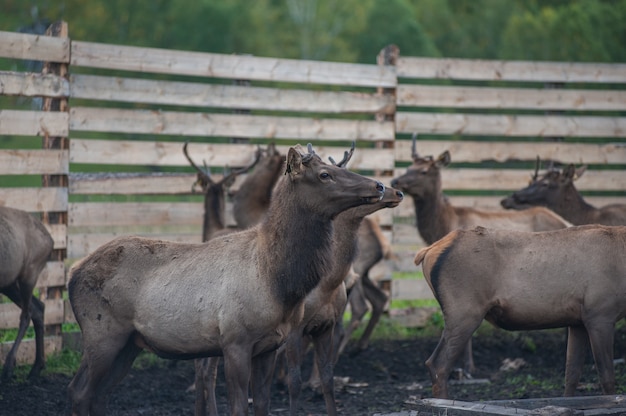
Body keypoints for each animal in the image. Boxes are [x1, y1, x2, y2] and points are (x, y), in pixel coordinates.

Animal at [0, 206, 52, 382]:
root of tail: (51, 240)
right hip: (9, 283)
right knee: (39, 307)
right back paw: (37, 367)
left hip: (29, 274)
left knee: (27, 313)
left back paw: (9, 367)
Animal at [66, 143, 382, 416]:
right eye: (324, 174)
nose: (378, 186)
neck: (277, 281)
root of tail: (72, 273)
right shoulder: (235, 341)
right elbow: (238, 407)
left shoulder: (269, 346)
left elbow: (262, 406)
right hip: (101, 334)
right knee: (79, 392)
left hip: (129, 343)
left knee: (100, 395)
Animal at [390, 134, 572, 374]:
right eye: (410, 166)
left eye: (424, 171)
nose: (395, 181)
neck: (443, 224)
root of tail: (565, 221)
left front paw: (468, 367)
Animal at [414, 226, 624, 398]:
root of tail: (427, 251)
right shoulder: (600, 315)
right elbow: (607, 377)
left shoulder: (578, 322)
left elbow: (571, 375)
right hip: (465, 312)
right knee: (438, 364)